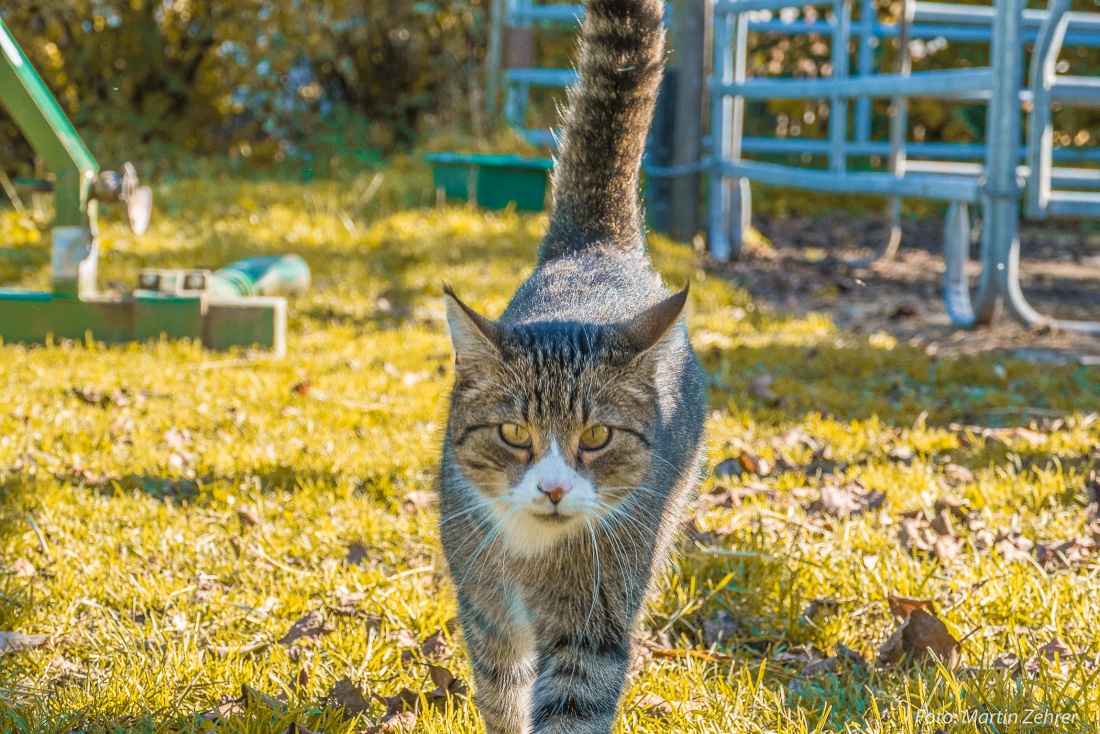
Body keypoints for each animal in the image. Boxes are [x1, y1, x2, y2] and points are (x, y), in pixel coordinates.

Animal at [435, 0, 704, 730]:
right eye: (513, 433)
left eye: (597, 436)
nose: (554, 489)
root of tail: (596, 247)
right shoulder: (484, 607)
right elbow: (500, 686)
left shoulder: (595, 619)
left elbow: (575, 701)